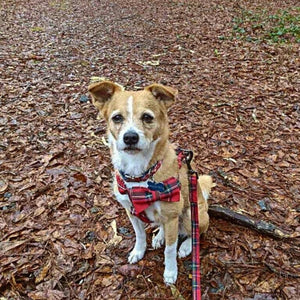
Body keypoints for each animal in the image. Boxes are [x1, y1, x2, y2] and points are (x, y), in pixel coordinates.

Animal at [88, 80, 212, 284]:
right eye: (117, 118)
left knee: (194, 233)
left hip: (192, 215)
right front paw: (138, 251)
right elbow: (139, 235)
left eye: (147, 117)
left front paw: (170, 271)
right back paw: (159, 236)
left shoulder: (172, 216)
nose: (130, 137)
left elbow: (170, 249)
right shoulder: (131, 211)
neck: (139, 174)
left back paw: (186, 246)